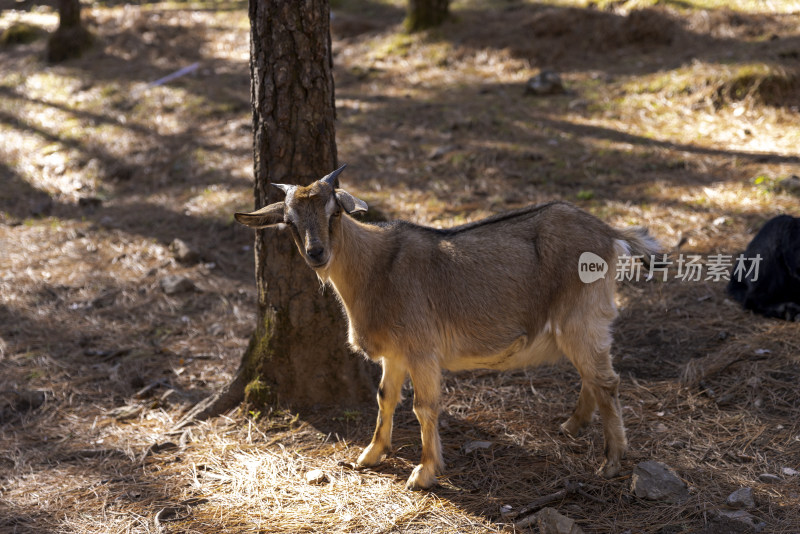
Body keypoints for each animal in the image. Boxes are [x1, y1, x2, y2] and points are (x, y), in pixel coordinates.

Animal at [238, 166, 664, 490]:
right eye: (290, 222)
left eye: (334, 214)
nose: (317, 254)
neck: (375, 270)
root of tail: (610, 233)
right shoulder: (395, 354)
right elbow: (384, 398)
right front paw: (369, 455)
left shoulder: (421, 350)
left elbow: (424, 407)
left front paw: (424, 473)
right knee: (593, 376)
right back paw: (572, 426)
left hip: (582, 316)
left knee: (606, 381)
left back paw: (611, 461)